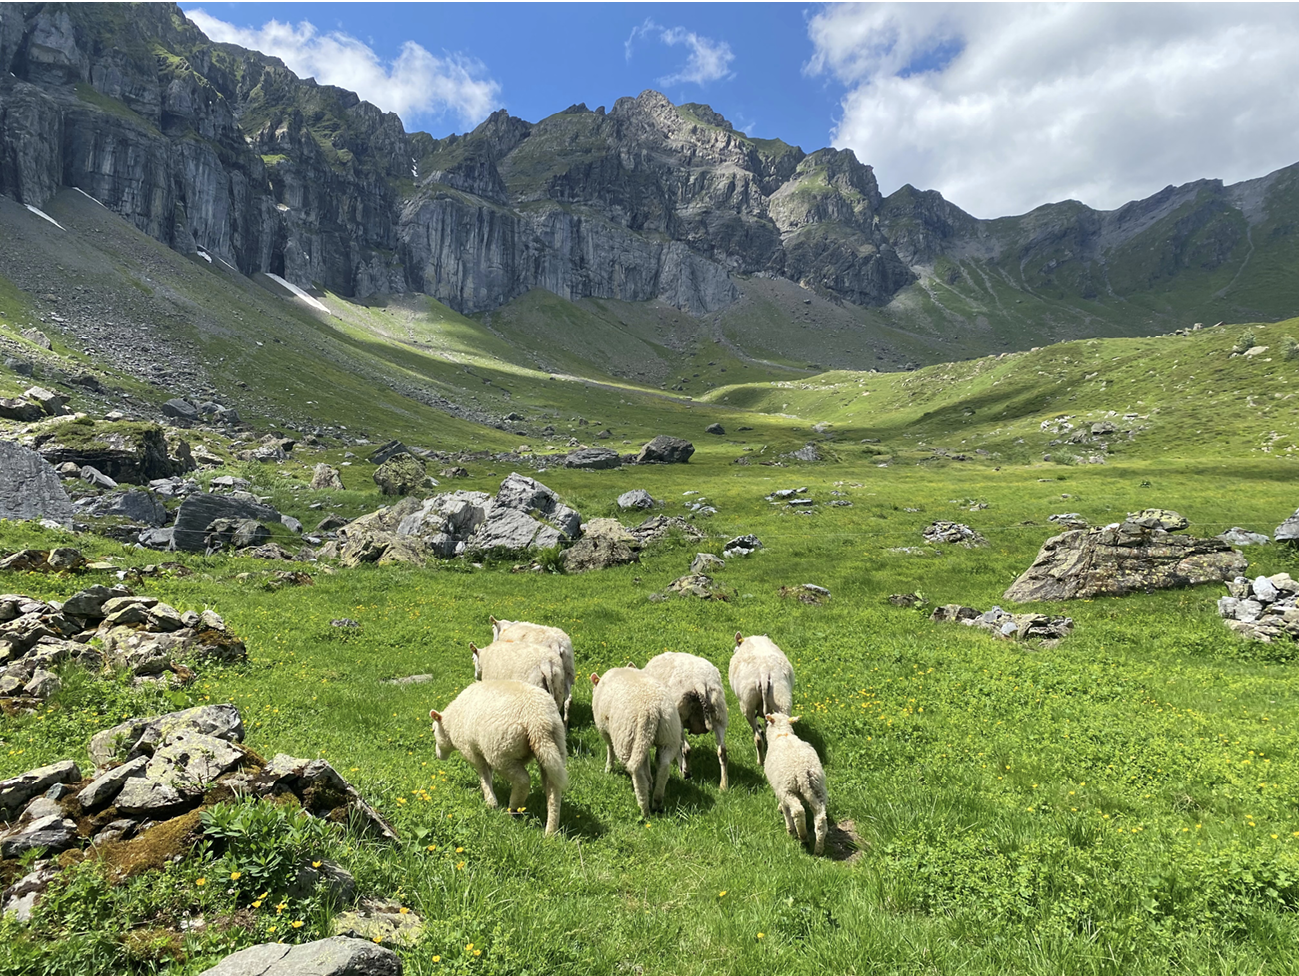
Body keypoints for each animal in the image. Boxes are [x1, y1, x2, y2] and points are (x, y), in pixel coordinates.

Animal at [429, 679, 568, 836]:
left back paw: (513, 808)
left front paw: (491, 802)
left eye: (433, 730)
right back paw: (550, 832)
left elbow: (484, 775)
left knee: (523, 780)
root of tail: (538, 718)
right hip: (555, 745)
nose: (438, 755)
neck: (452, 721)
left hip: (500, 751)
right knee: (553, 788)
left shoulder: (473, 752)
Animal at [589, 666, 683, 816]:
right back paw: (656, 801)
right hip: (667, 735)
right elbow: (646, 759)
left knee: (636, 771)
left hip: (628, 737)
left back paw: (644, 808)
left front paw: (609, 768)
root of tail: (652, 708)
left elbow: (610, 748)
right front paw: (650, 780)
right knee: (663, 766)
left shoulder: (604, 728)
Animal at [642, 651, 729, 790]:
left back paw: (686, 772)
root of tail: (700, 683)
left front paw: (681, 769)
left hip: (681, 716)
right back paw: (723, 786)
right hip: (719, 715)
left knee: (686, 749)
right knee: (723, 752)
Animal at [762, 713, 828, 855]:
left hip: (788, 788)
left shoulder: (780, 789)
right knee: (820, 818)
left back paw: (802, 836)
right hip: (818, 787)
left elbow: (786, 810)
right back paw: (818, 849)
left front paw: (789, 829)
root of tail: (801, 770)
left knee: (798, 811)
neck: (782, 734)